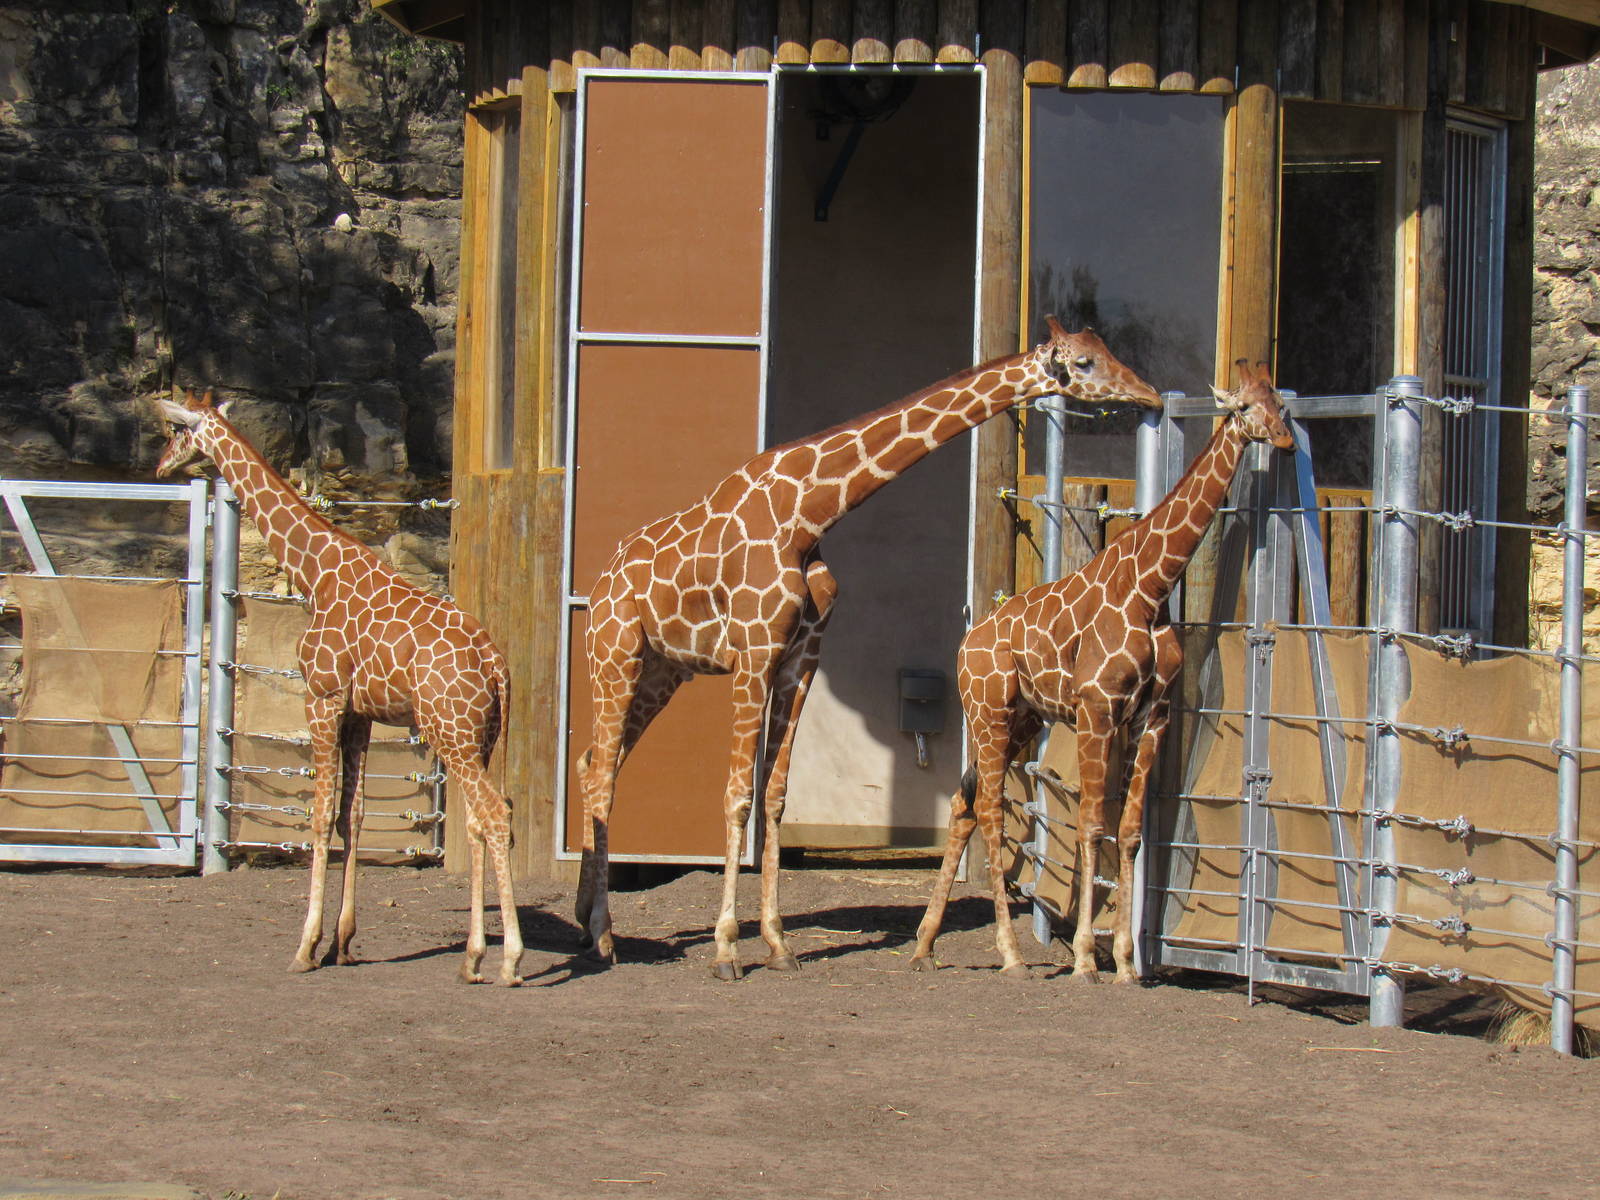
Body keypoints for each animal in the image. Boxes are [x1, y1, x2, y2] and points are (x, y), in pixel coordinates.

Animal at [154, 389, 526, 986]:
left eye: (176, 430)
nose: (160, 465)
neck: (315, 572)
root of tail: (496, 665)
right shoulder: (360, 714)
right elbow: (353, 814)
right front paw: (342, 943)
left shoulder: (322, 699)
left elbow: (321, 813)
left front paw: (305, 947)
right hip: (481, 738)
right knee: (479, 819)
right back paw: (472, 957)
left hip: (450, 732)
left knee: (495, 814)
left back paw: (510, 959)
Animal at [577, 319, 1162, 981]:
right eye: (1085, 363)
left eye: (1109, 349)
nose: (1151, 394)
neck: (809, 514)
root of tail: (599, 588)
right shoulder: (754, 651)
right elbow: (736, 796)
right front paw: (727, 949)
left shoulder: (800, 660)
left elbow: (774, 796)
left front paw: (778, 944)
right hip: (616, 657)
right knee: (603, 775)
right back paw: (604, 936)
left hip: (660, 673)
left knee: (594, 763)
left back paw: (585, 920)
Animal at [909, 360, 1293, 981]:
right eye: (1243, 407)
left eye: (1279, 402)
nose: (1282, 439)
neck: (1151, 587)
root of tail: (966, 646)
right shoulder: (1097, 708)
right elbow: (1091, 825)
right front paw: (1088, 958)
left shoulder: (1152, 715)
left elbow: (1131, 832)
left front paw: (1129, 965)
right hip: (988, 711)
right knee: (990, 809)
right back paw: (1011, 955)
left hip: (1021, 719)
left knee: (966, 802)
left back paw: (925, 945)